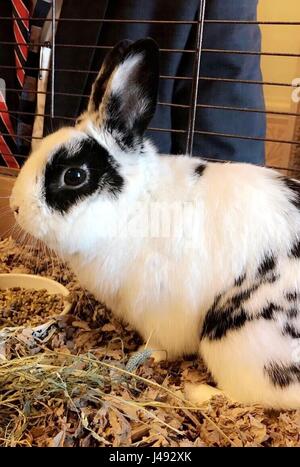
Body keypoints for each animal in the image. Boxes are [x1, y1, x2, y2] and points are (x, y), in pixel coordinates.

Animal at [10, 37, 300, 410]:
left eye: (74, 176)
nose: (16, 207)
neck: (134, 206)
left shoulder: (161, 313)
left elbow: (161, 345)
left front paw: (149, 356)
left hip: (239, 339)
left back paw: (198, 392)